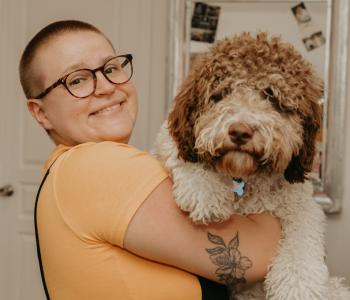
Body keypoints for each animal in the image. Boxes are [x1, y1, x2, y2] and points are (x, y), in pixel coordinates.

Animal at [154, 32, 350, 300]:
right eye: (221, 93)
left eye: (271, 95)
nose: (239, 131)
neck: (245, 179)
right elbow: (175, 148)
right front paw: (206, 192)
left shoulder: (301, 205)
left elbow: (302, 241)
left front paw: (298, 288)